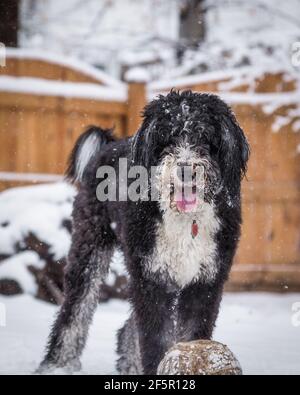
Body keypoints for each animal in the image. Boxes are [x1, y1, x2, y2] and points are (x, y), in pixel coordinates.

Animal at [40, 91, 251, 376]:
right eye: (168, 138)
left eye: (204, 136)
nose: (185, 169)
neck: (186, 220)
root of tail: (108, 146)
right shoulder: (151, 278)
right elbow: (155, 338)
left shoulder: (205, 281)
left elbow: (190, 333)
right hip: (90, 245)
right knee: (75, 310)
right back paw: (57, 364)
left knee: (128, 326)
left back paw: (128, 365)